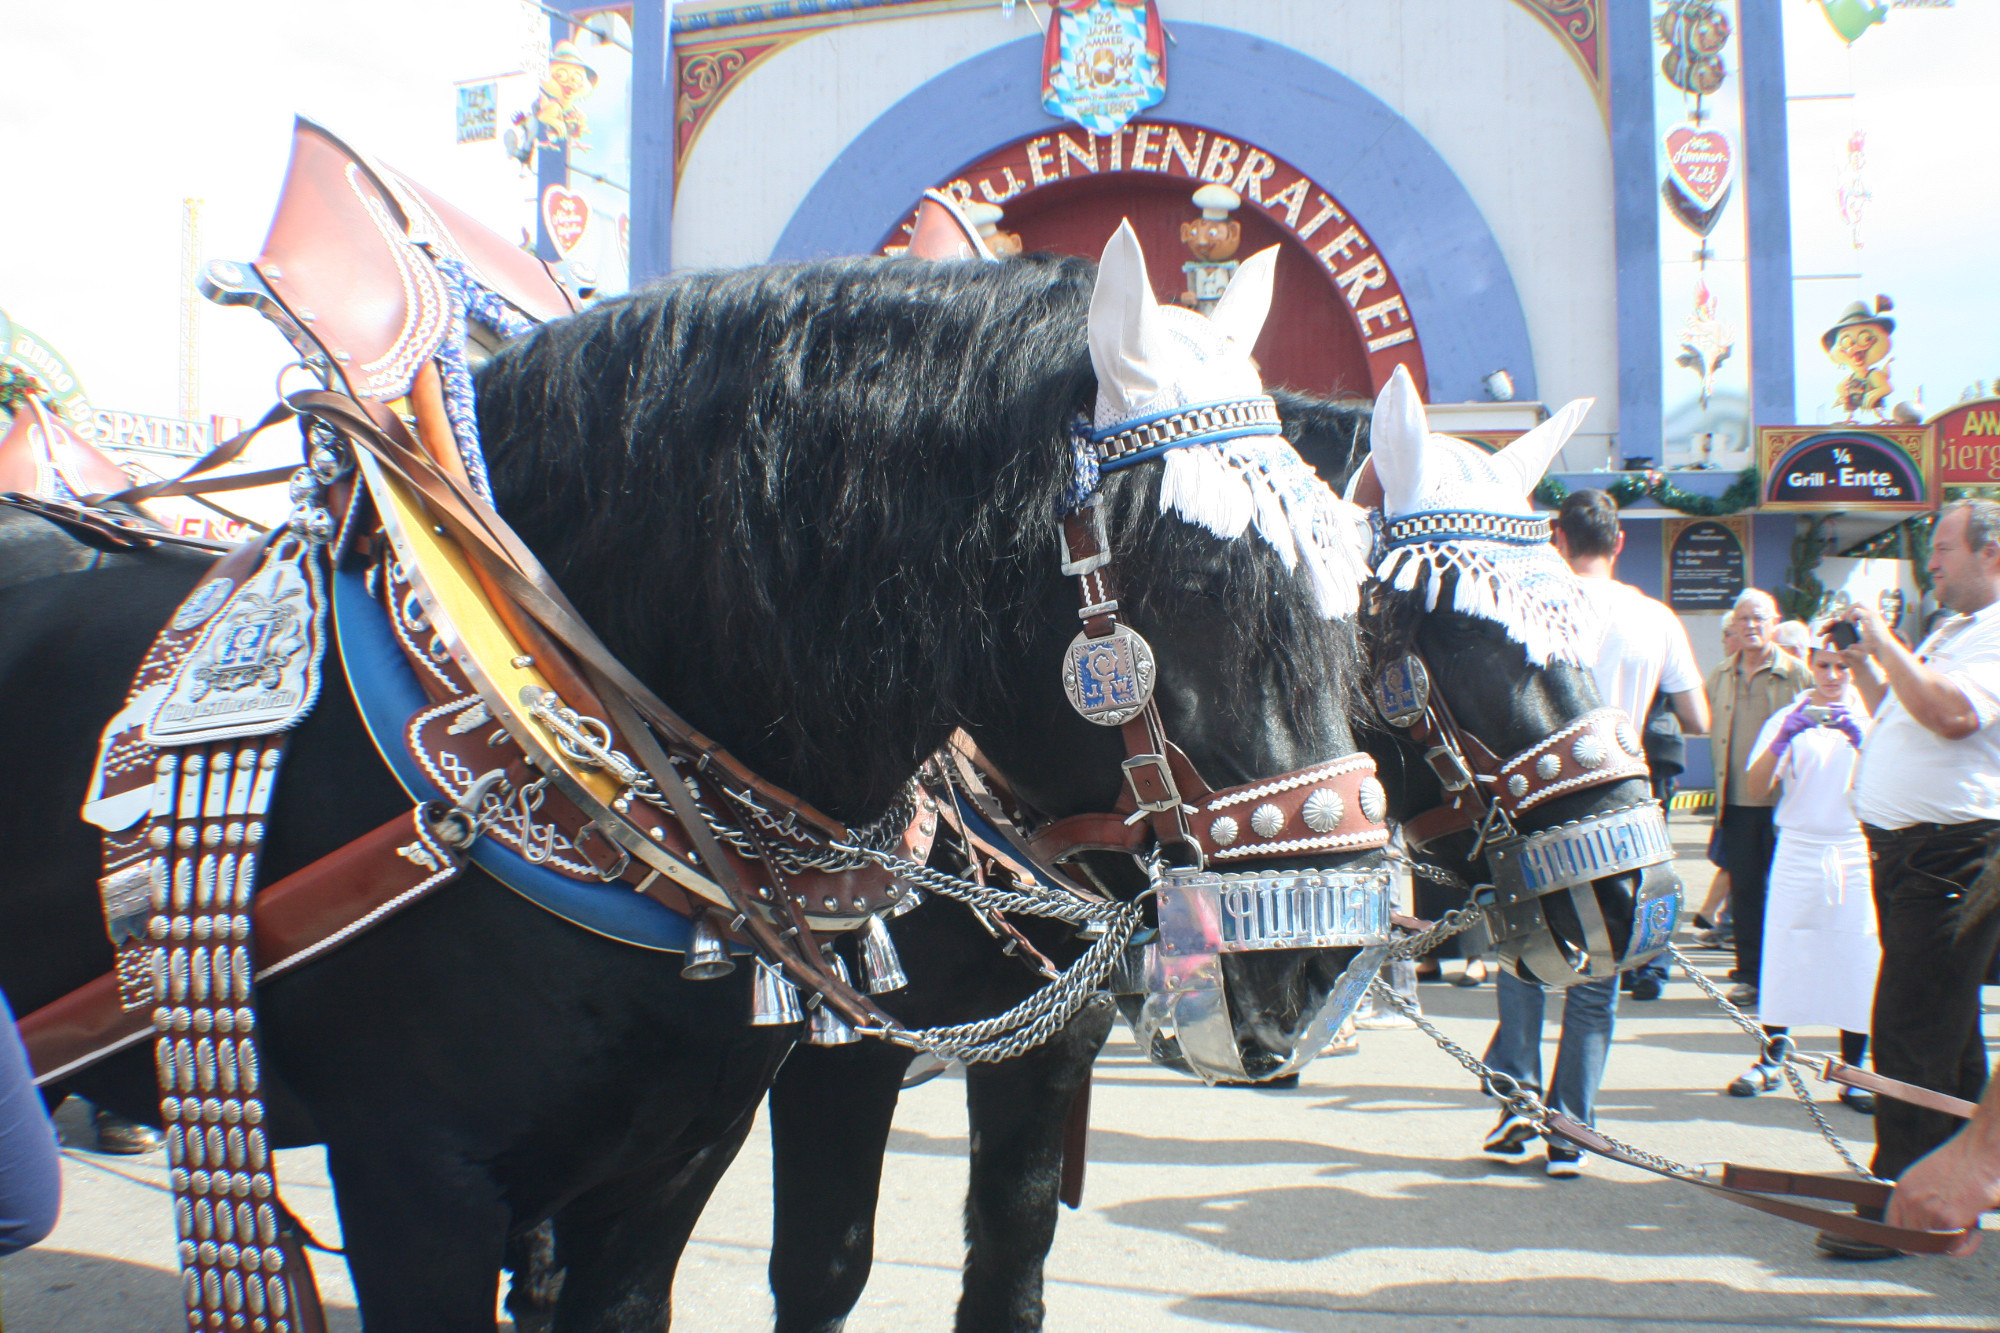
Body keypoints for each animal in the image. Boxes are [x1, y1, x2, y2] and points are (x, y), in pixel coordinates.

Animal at [0, 252, 1376, 1328]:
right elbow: (825, 1265)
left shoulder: (685, 1155)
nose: (1330, 964)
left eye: (1353, 584)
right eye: (1193, 582)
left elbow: (1003, 1265)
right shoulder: (417, 1177)